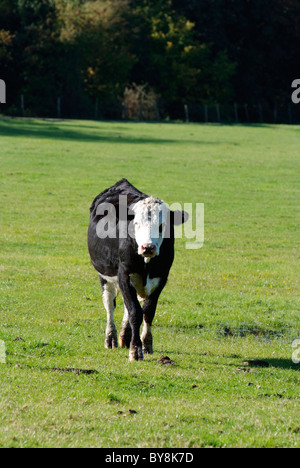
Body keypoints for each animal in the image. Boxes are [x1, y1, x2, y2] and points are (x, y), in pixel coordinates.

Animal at [86, 179, 188, 362]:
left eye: (161, 226)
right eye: (136, 223)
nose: (148, 247)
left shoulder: (161, 278)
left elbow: (147, 312)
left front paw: (146, 344)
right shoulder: (124, 275)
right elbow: (135, 312)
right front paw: (135, 350)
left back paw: (125, 337)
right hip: (104, 275)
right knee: (109, 304)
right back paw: (111, 338)